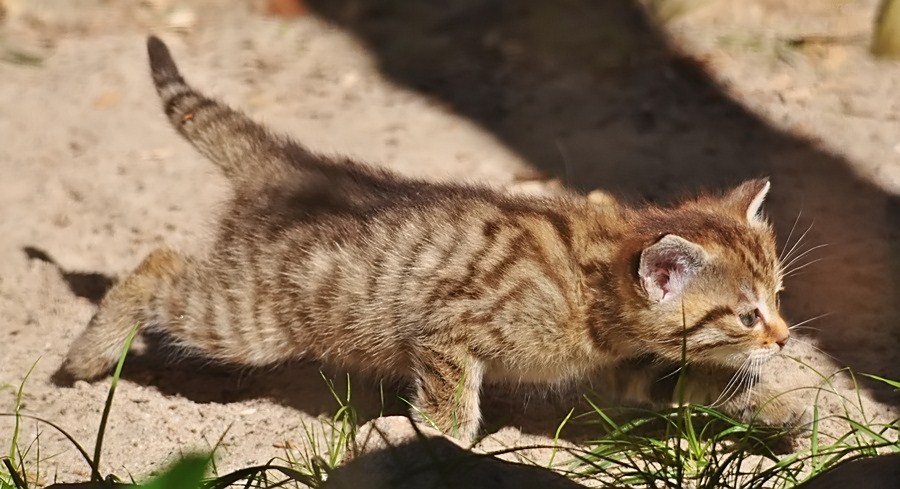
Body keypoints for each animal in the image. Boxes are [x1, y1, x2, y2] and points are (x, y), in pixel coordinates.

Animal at [65, 36, 808, 440]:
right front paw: (441, 438)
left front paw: (784, 409)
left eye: (778, 299)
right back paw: (88, 356)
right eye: (748, 315)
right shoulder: (448, 329)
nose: (784, 338)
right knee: (160, 263)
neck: (590, 285)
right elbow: (453, 402)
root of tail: (297, 169)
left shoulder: (627, 362)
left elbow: (700, 380)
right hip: (252, 321)